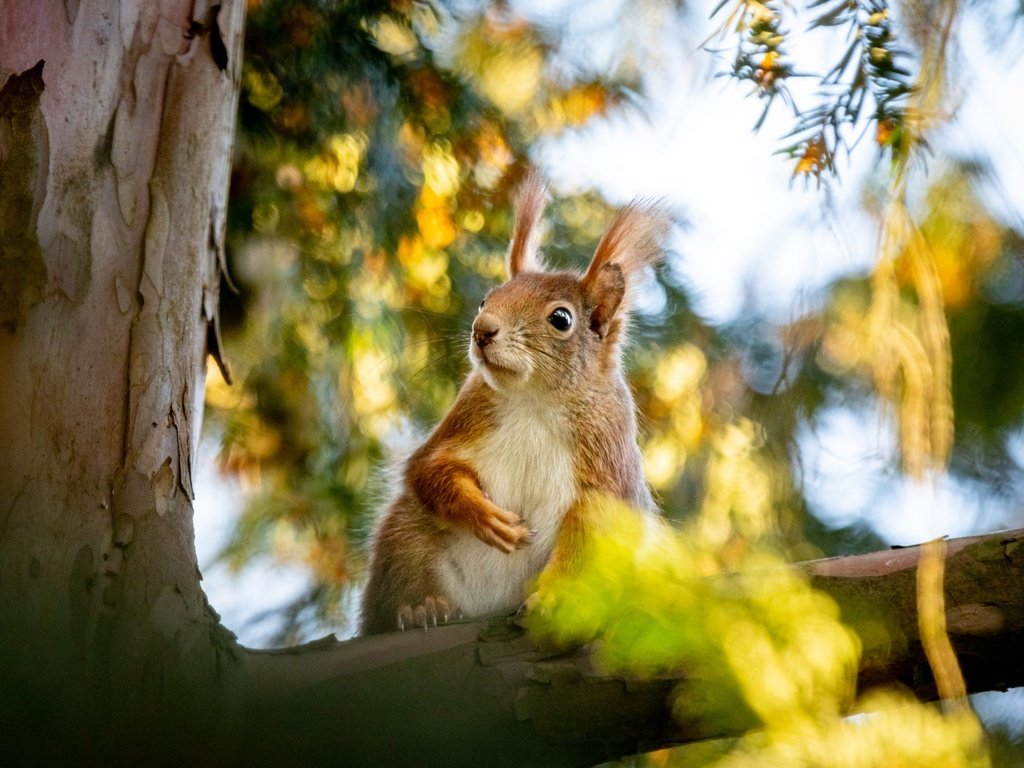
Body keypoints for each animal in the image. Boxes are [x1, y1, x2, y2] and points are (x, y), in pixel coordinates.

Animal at [360, 176, 671, 638]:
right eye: (486, 299)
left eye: (561, 319)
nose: (482, 330)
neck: (534, 402)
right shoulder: (466, 417)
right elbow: (430, 469)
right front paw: (483, 515)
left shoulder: (606, 460)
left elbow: (588, 531)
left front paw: (554, 598)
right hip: (406, 537)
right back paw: (423, 609)